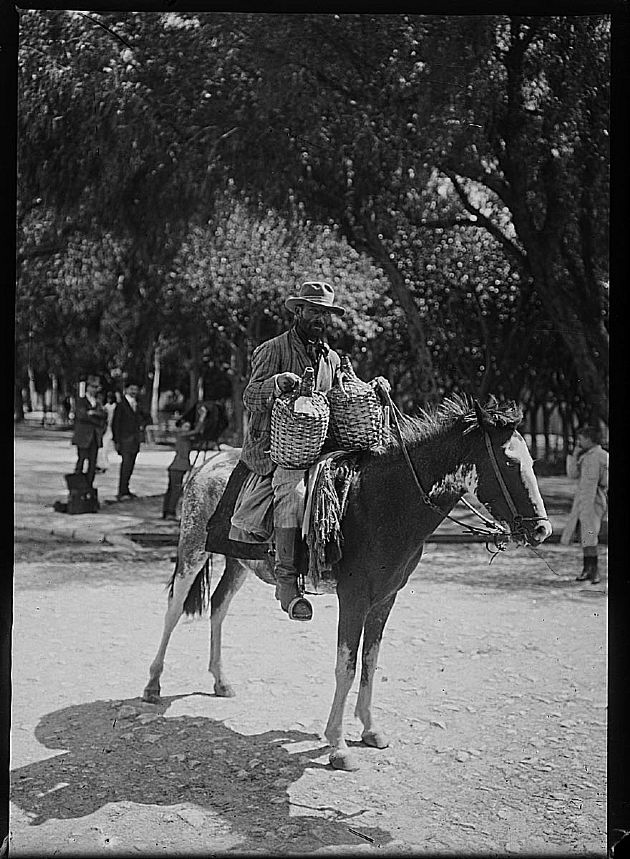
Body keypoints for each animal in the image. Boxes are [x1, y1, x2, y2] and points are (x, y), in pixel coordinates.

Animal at [142, 395, 552, 771]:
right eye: (510, 462)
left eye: (532, 462)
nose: (541, 530)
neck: (384, 501)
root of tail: (208, 463)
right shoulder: (353, 598)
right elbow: (347, 665)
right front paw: (338, 746)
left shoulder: (385, 599)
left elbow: (371, 660)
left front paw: (370, 729)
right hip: (192, 549)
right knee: (173, 610)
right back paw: (153, 685)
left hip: (240, 562)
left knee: (219, 606)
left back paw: (221, 681)